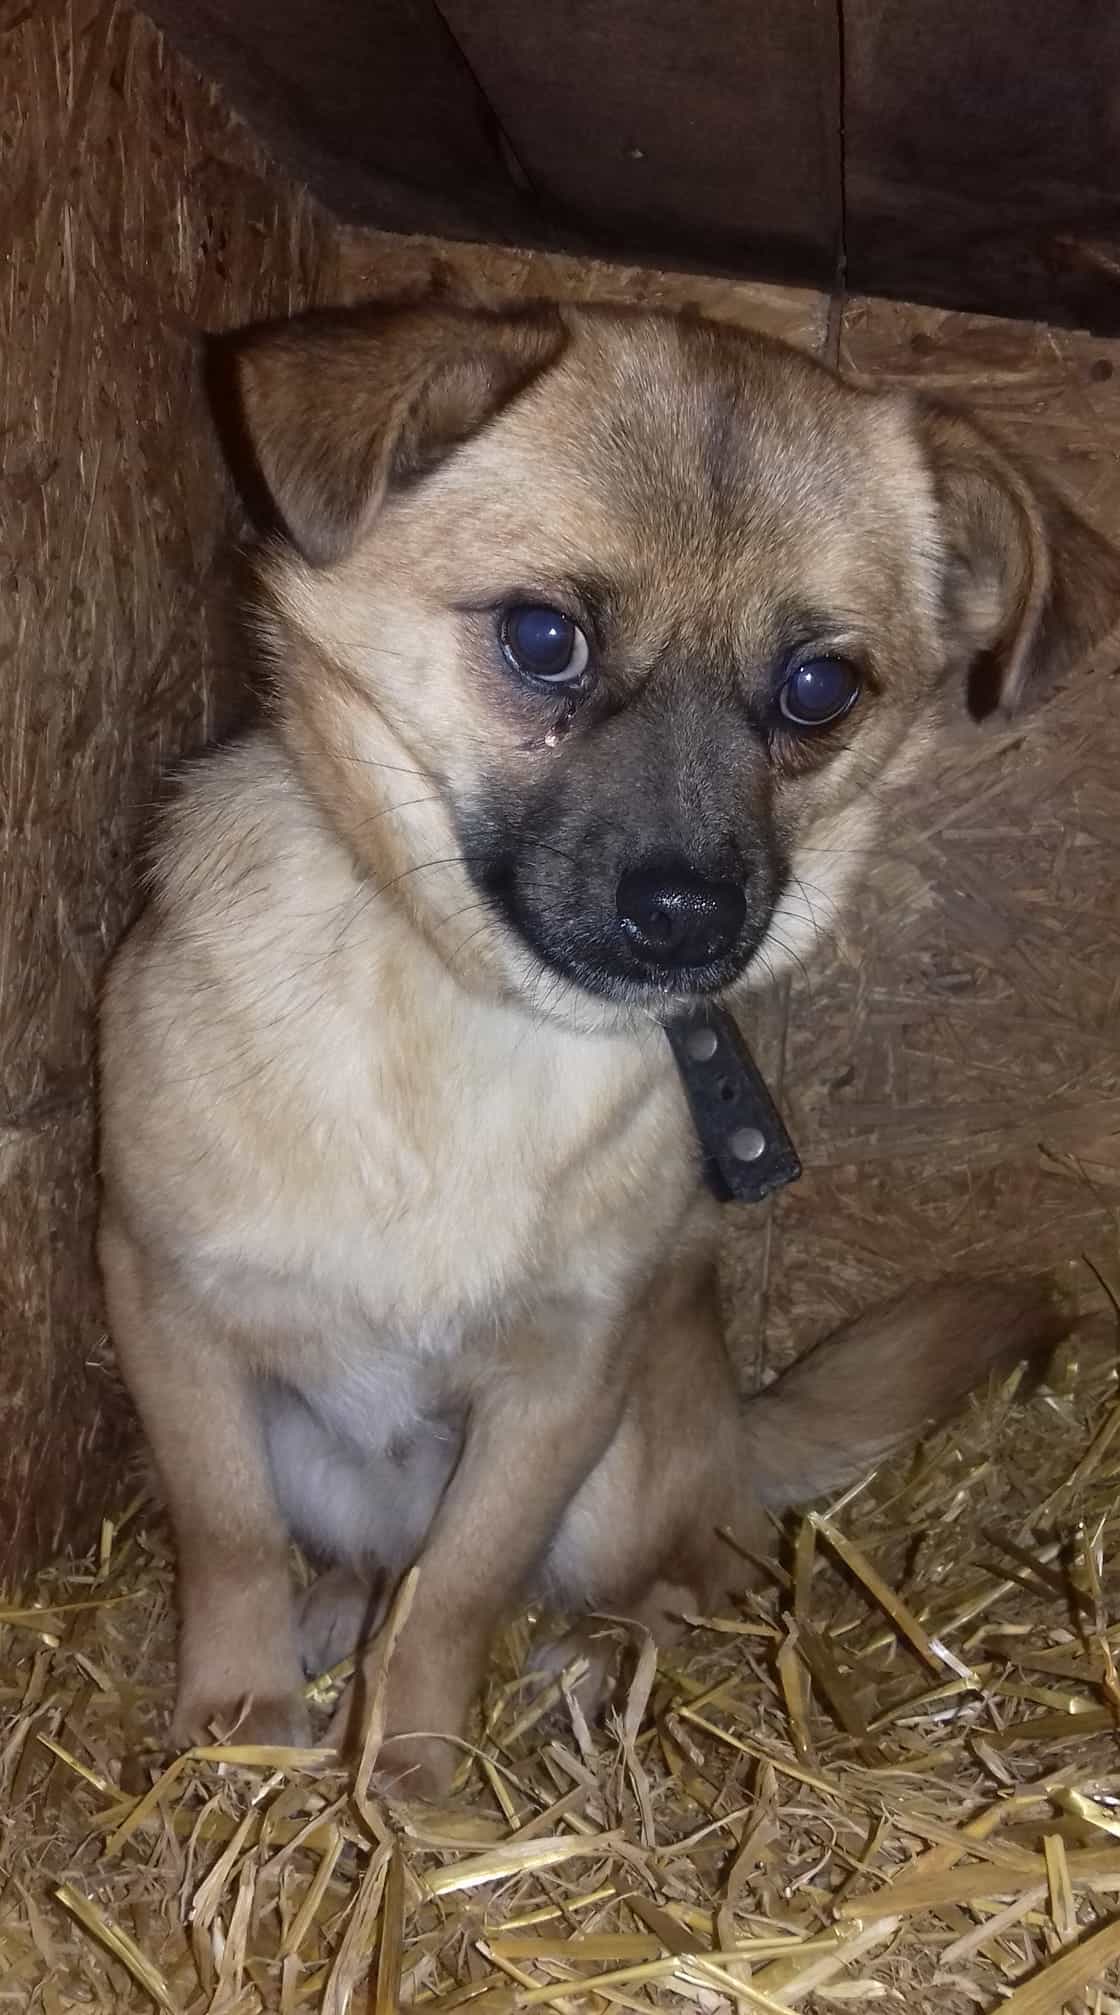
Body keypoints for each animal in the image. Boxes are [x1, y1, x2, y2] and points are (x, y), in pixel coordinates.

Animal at [98, 297, 1119, 1796]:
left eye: (819, 686)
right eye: (542, 638)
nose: (691, 912)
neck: (480, 1023)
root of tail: (731, 1422)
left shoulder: (566, 1386)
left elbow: (461, 1588)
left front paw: (411, 1775)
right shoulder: (171, 1306)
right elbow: (227, 1540)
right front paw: (238, 1722)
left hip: (633, 1463)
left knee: (685, 1570)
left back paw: (594, 1650)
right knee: (355, 1553)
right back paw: (337, 1604)